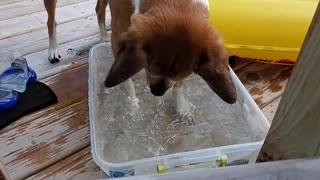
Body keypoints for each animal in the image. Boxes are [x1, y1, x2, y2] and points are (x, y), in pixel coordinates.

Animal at [43, 0, 236, 116]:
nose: (157, 93)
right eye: (149, 67)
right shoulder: (119, 37)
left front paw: (182, 106)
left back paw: (103, 35)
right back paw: (53, 49)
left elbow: (178, 86)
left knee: (98, 9)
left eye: (184, 74)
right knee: (51, 21)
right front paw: (132, 105)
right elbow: (126, 80)